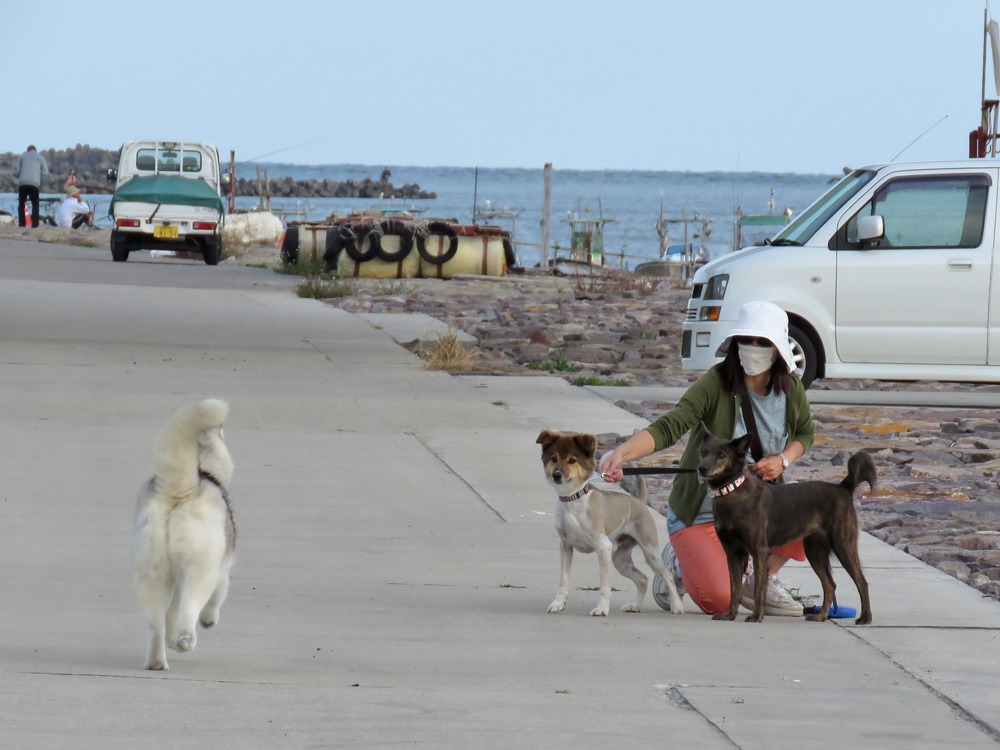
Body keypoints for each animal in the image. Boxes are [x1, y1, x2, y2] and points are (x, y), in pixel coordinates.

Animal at [133, 402, 236, 672]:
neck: (204, 468)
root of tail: (181, 487)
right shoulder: (222, 566)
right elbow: (221, 592)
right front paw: (209, 619)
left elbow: (169, 613)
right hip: (200, 566)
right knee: (190, 605)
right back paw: (186, 639)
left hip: (152, 569)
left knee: (155, 622)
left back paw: (157, 659)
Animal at [536, 432, 684, 620]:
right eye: (554, 459)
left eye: (572, 460)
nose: (557, 475)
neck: (573, 500)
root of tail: (639, 500)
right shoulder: (566, 546)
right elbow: (564, 580)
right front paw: (558, 604)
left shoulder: (603, 547)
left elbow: (604, 586)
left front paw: (602, 609)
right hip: (620, 560)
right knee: (643, 579)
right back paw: (635, 606)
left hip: (651, 553)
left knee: (668, 576)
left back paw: (677, 606)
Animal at [696, 426, 876, 624]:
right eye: (703, 452)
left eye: (721, 455)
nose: (701, 468)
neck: (731, 490)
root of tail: (843, 488)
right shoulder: (733, 553)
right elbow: (734, 588)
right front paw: (729, 615)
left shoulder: (758, 550)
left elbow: (759, 588)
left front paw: (757, 616)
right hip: (814, 551)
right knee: (830, 585)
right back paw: (821, 616)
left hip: (843, 544)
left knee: (862, 582)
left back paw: (865, 617)